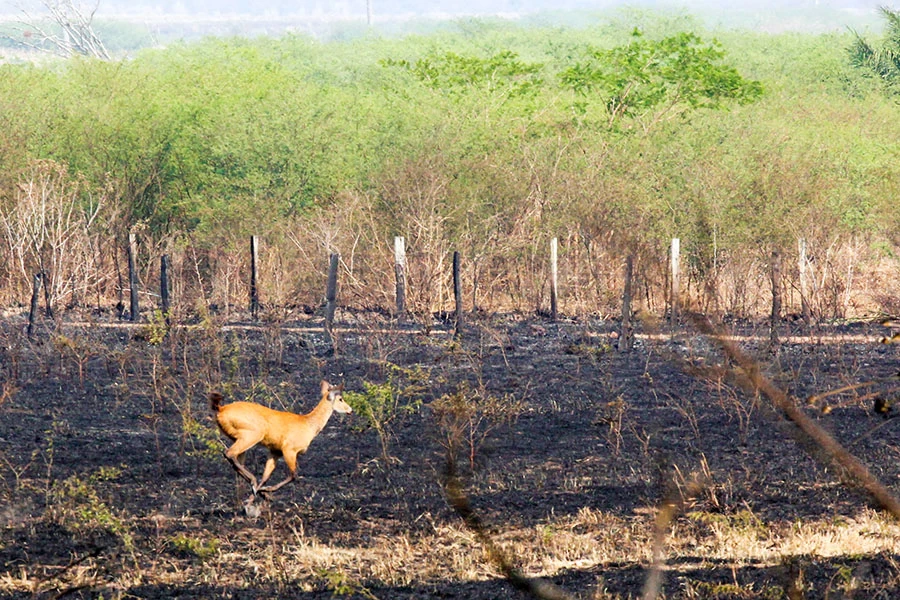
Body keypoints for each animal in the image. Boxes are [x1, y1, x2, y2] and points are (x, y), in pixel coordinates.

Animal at [210, 382, 352, 500]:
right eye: (341, 399)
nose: (350, 410)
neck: (308, 425)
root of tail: (221, 409)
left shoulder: (275, 450)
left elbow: (266, 476)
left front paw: (258, 496)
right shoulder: (289, 448)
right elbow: (294, 475)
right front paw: (265, 491)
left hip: (237, 437)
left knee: (235, 460)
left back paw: (253, 487)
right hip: (252, 434)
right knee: (229, 453)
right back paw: (253, 481)